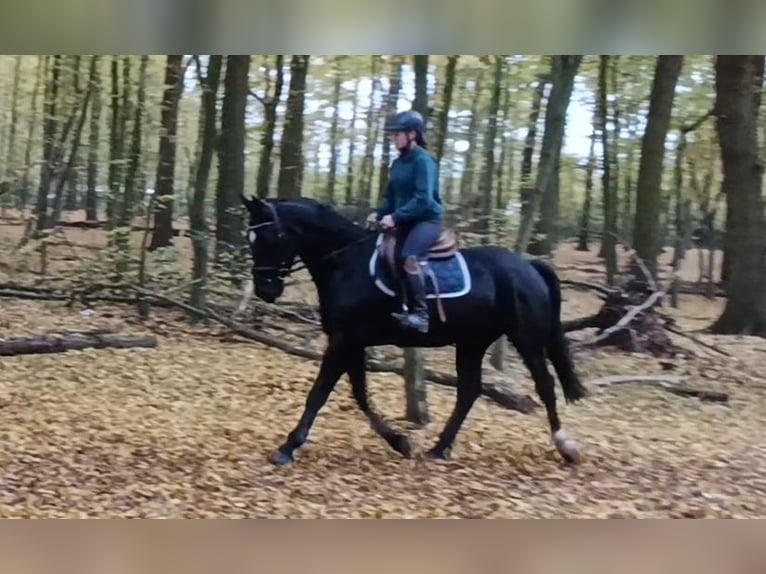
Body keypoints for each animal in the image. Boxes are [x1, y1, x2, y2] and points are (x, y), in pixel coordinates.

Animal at [242, 197, 588, 468]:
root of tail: (529, 266)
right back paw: (439, 448)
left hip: (525, 338)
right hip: (472, 342)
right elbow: (360, 395)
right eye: (251, 239)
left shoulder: (344, 341)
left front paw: (287, 448)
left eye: (270, 236)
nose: (264, 290)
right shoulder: (350, 342)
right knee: (469, 391)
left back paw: (566, 447)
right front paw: (400, 442)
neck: (345, 263)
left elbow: (319, 394)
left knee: (545, 385)